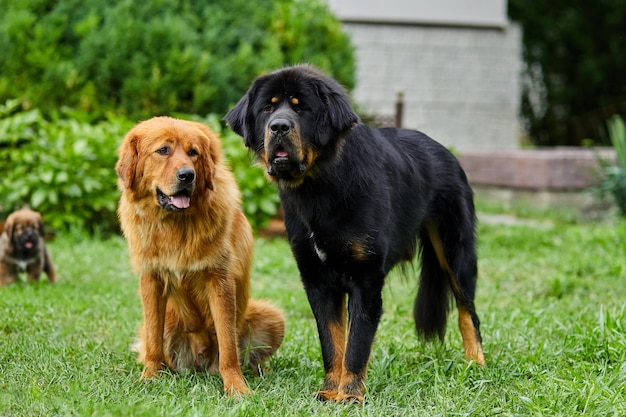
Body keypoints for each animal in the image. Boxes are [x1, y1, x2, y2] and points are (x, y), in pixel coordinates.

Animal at [116, 116, 284, 394]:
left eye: (193, 152)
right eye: (163, 150)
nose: (187, 175)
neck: (175, 225)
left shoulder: (219, 281)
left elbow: (228, 346)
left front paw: (236, 388)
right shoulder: (151, 280)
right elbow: (153, 341)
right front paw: (149, 378)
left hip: (273, 317)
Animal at [224, 65, 482, 404]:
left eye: (301, 108)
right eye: (268, 108)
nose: (278, 126)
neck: (319, 186)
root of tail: (447, 152)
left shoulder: (366, 280)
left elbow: (356, 346)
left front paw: (350, 395)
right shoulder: (317, 281)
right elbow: (333, 343)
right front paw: (329, 390)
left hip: (455, 251)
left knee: (468, 310)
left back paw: (476, 363)